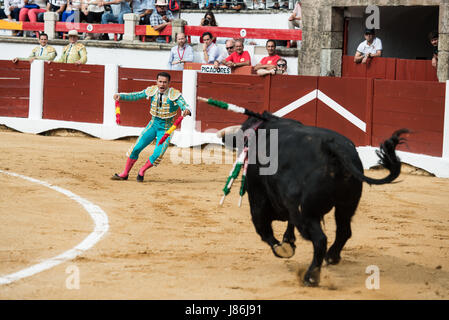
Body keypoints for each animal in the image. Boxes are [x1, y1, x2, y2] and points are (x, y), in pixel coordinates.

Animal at [222, 113, 408, 288]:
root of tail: (332, 148)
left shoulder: (258, 197)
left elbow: (262, 227)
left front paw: (282, 249)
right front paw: (288, 242)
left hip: (306, 214)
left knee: (320, 240)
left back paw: (311, 277)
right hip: (346, 205)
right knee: (344, 231)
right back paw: (332, 257)